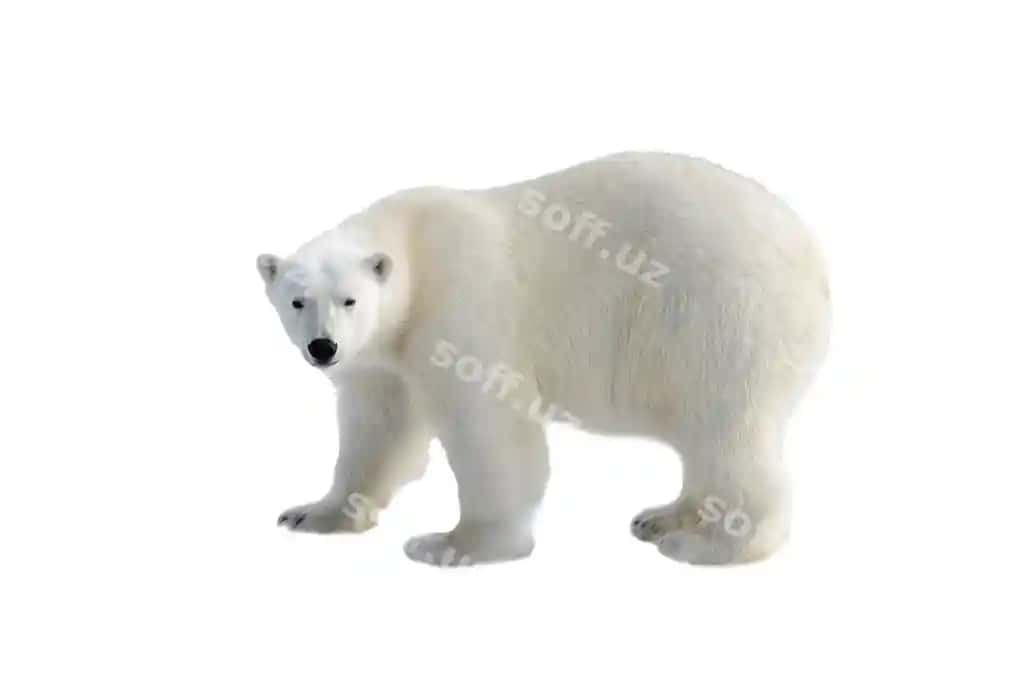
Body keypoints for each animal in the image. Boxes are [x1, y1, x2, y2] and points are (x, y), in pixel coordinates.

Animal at [256, 151, 830, 566]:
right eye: (298, 300)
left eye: (350, 299)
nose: (323, 347)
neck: (413, 245)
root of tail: (812, 253)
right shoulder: (382, 357)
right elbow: (378, 428)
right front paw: (315, 514)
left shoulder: (461, 299)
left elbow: (488, 426)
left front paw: (455, 545)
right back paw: (667, 517)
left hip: (719, 314)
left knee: (727, 429)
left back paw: (712, 544)